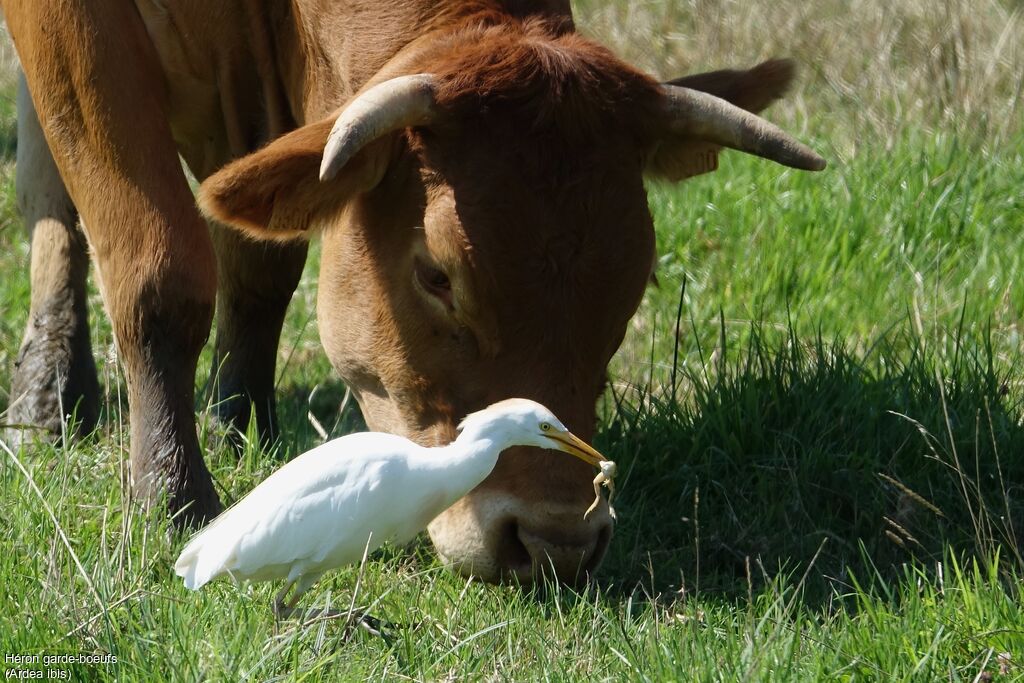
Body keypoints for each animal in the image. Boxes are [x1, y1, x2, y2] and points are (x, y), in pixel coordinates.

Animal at [2, 1, 823, 589]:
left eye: (636, 277)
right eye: (436, 274)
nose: (556, 540)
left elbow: (261, 265)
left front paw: (242, 426)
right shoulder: (81, 35)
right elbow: (160, 268)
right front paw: (172, 494)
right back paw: (49, 391)